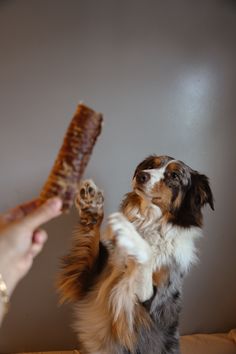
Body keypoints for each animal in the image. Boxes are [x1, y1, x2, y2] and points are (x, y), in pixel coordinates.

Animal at [57, 155, 214, 354]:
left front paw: (129, 232)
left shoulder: (150, 302)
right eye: (151, 165)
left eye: (174, 176)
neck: (149, 222)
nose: (141, 176)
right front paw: (91, 205)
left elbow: (146, 256)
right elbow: (91, 242)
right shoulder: (86, 280)